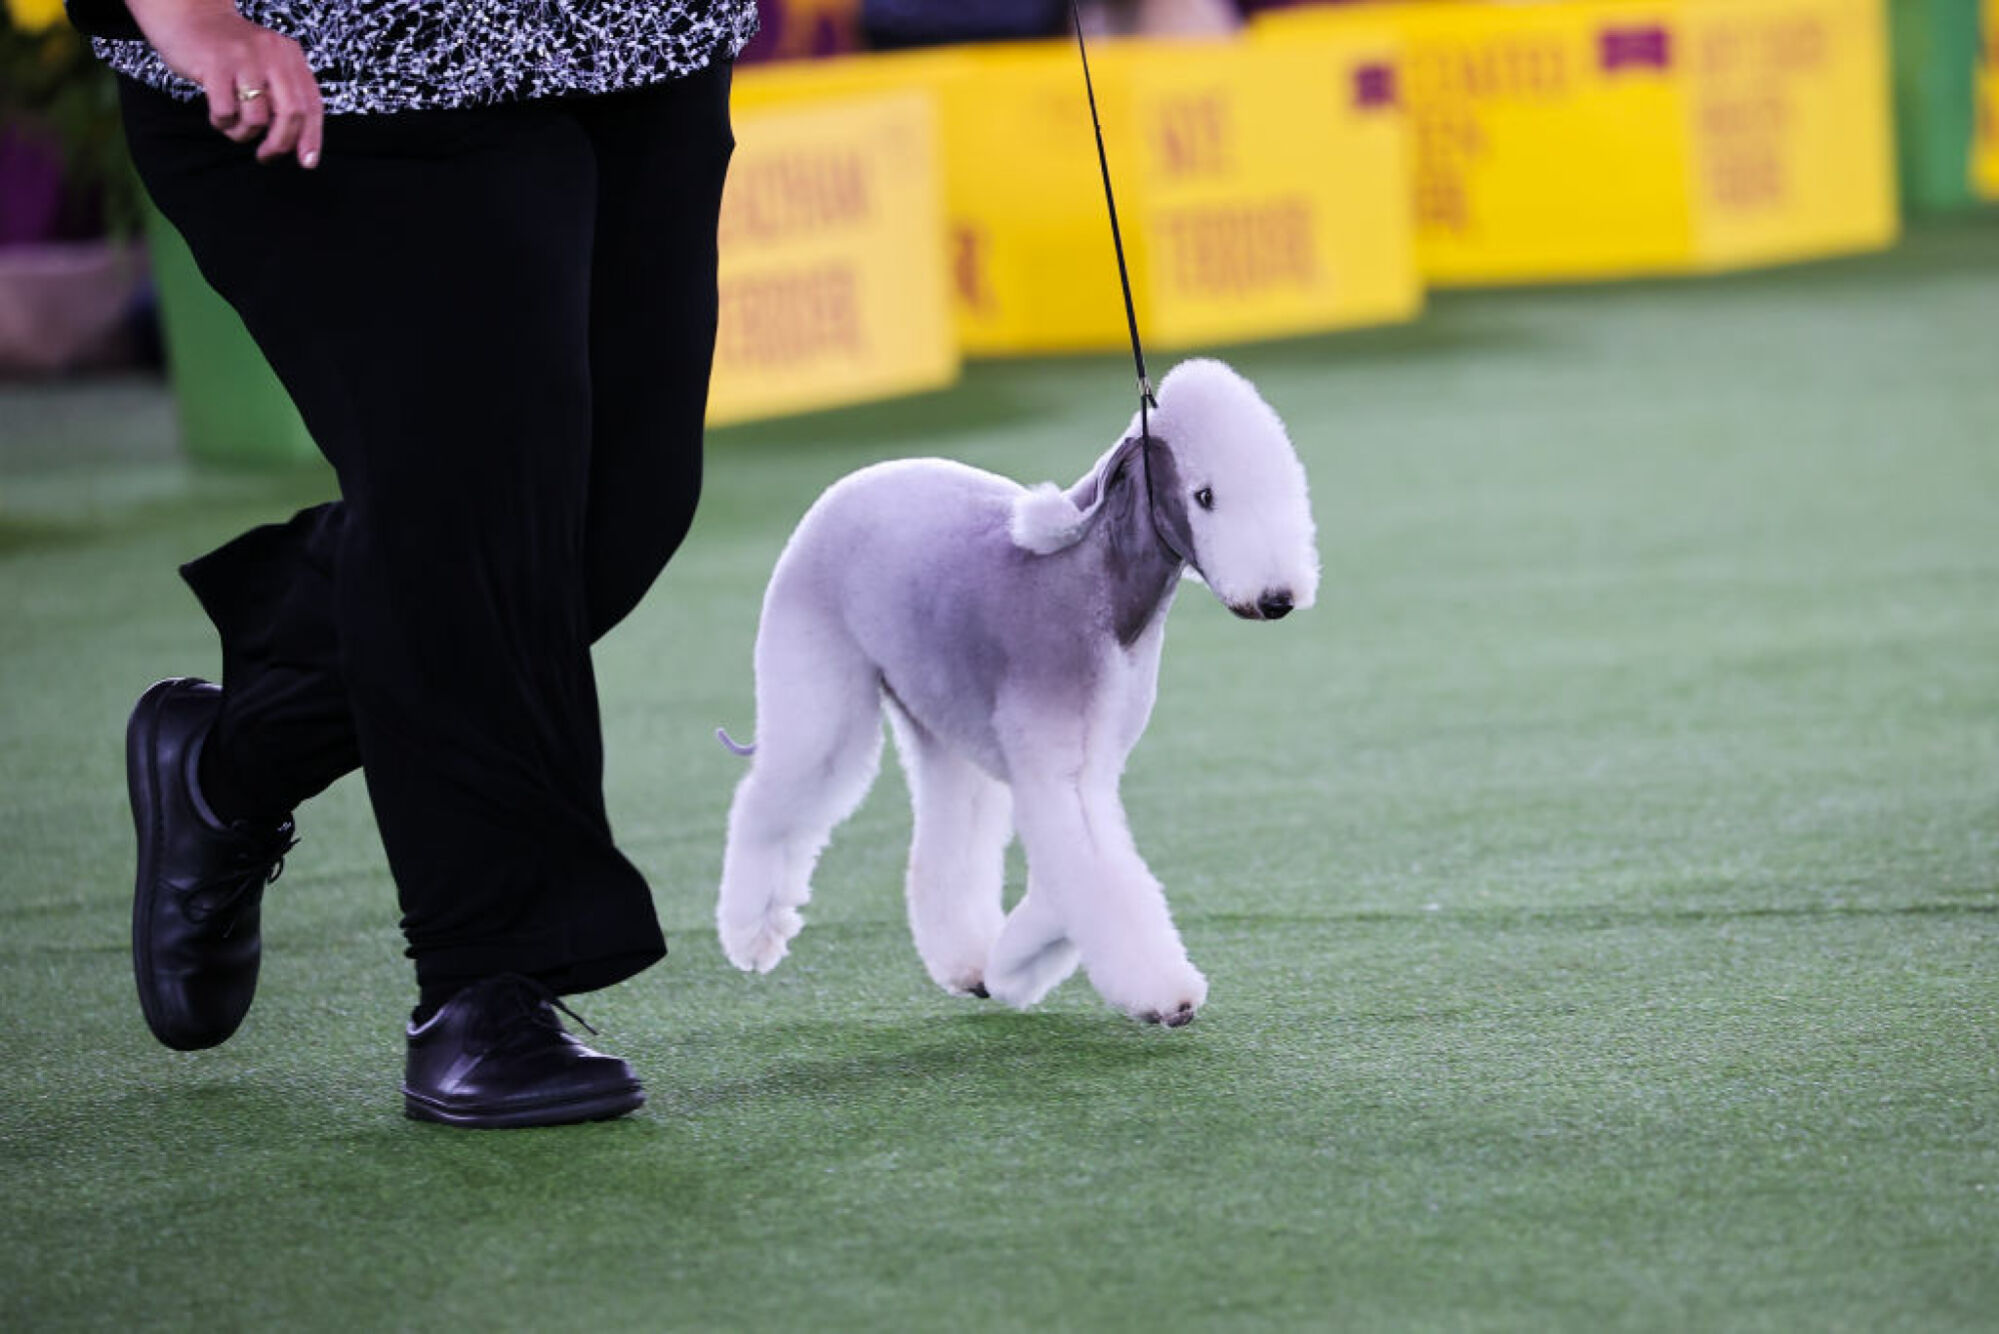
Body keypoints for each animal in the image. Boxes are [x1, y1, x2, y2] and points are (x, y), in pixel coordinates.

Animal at [715, 360, 1311, 1032]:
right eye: (1205, 496)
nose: (1277, 598)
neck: (1099, 583)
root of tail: (847, 486)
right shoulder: (1060, 769)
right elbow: (1098, 873)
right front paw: (1165, 995)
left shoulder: (1083, 765)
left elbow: (1078, 872)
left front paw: (1016, 964)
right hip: (820, 690)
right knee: (774, 799)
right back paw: (752, 934)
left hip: (941, 715)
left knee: (950, 834)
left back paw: (972, 963)